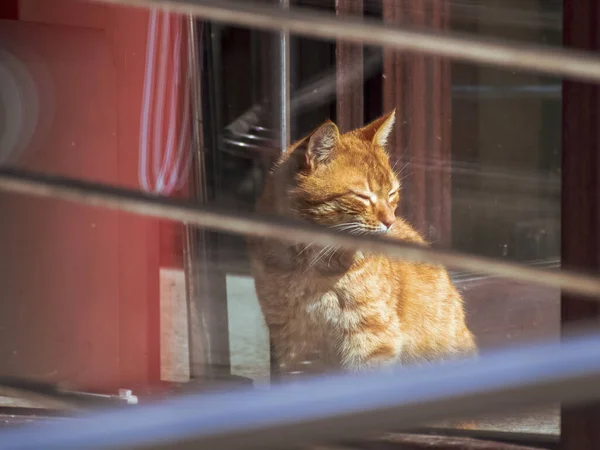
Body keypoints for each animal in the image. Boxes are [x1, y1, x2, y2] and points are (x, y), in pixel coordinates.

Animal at [246, 110, 476, 374]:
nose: (390, 221)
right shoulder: (291, 342)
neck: (310, 265)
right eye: (362, 196)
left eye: (392, 193)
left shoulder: (371, 339)